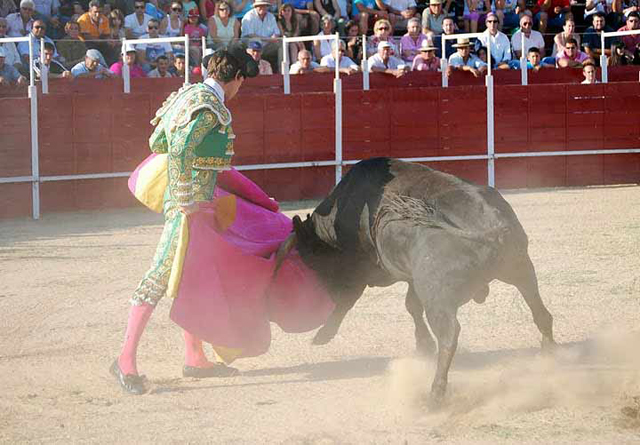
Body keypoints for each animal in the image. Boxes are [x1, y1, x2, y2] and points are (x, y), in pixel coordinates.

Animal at [276, 156, 556, 402]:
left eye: (313, 261)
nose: (329, 293)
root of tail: (492, 225)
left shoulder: (363, 271)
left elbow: (352, 300)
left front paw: (324, 334)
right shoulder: (412, 277)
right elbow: (411, 305)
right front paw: (423, 345)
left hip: (438, 297)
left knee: (449, 334)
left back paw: (435, 393)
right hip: (521, 268)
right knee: (541, 313)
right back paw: (549, 356)